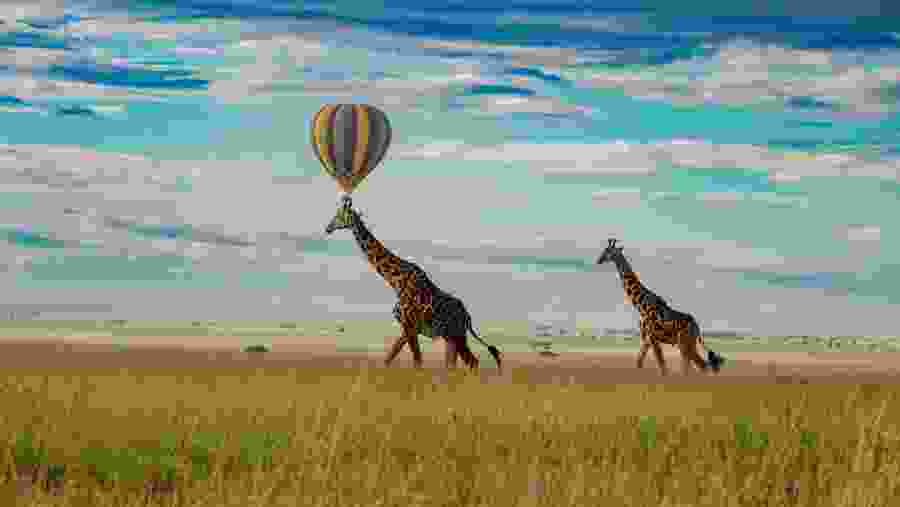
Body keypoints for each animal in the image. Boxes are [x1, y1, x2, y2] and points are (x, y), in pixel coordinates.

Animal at [324, 196, 502, 371]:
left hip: (457, 335)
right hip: (450, 337)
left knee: (472, 362)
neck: (395, 281)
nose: (328, 228)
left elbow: (417, 362)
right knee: (455, 364)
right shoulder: (407, 326)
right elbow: (390, 358)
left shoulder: (409, 324)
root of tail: (467, 316)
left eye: (339, 215)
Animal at [595, 238, 724, 376]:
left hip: (685, 343)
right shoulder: (646, 338)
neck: (640, 305)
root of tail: (697, 327)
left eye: (608, 251)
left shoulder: (652, 337)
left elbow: (662, 366)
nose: (598, 260)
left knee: (700, 365)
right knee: (696, 365)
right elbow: (640, 362)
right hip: (687, 344)